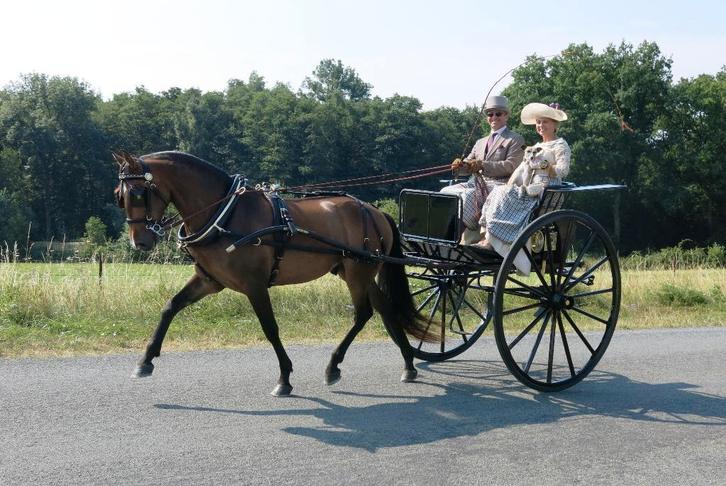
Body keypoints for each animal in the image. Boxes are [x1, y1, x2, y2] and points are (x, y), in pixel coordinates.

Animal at [113, 150, 438, 396]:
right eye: (119, 195)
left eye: (139, 193)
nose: (139, 242)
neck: (224, 214)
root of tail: (375, 211)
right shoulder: (210, 281)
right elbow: (170, 307)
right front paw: (145, 361)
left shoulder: (254, 284)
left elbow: (270, 328)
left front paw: (284, 378)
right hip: (353, 270)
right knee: (385, 308)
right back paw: (408, 364)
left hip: (359, 271)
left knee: (364, 314)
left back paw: (333, 366)